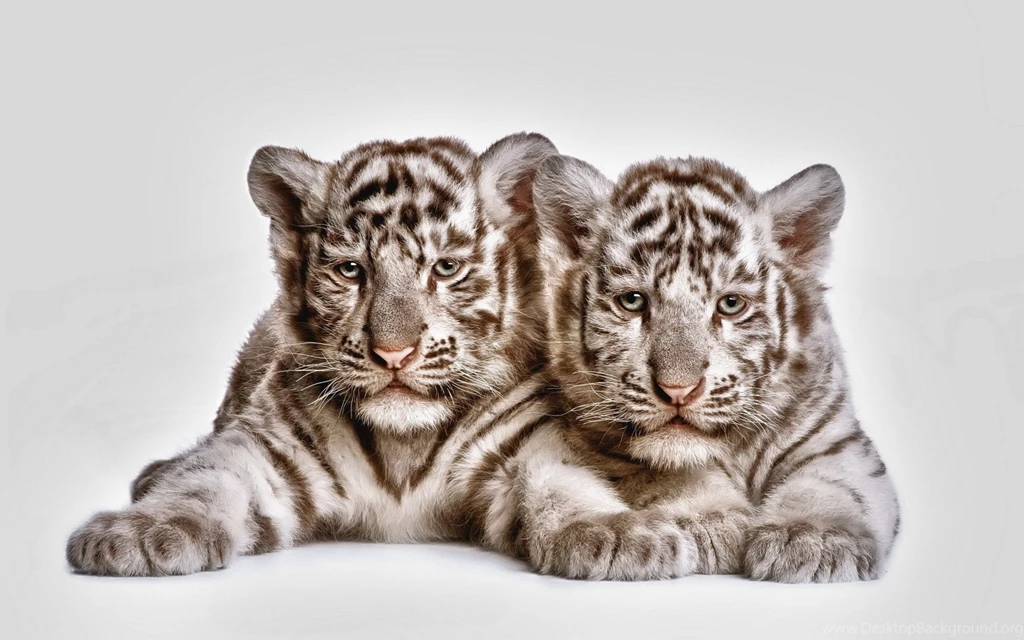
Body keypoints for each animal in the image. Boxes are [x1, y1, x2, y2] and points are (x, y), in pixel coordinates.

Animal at [65, 133, 561, 576]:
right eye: (351, 271)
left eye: (446, 268)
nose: (393, 354)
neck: (402, 445)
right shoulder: (268, 447)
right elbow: (204, 479)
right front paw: (137, 534)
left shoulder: (524, 438)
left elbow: (555, 480)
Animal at [459, 153, 900, 582]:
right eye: (633, 301)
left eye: (730, 304)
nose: (678, 390)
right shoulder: (594, 444)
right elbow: (667, 474)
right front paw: (710, 521)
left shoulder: (837, 439)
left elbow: (834, 484)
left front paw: (814, 538)